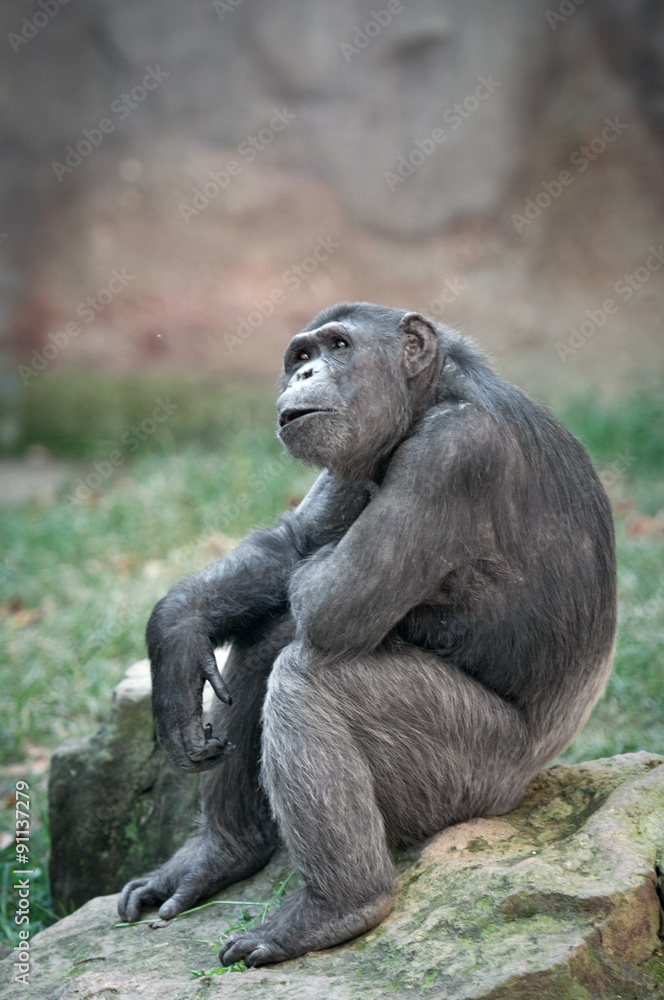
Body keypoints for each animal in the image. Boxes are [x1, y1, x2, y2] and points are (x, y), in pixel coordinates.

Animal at [115, 300, 616, 964]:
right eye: (301, 356)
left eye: (339, 347)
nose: (305, 376)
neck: (431, 398)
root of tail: (525, 784)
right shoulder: (353, 455)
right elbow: (295, 543)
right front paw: (176, 635)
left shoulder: (450, 456)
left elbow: (333, 606)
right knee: (269, 638)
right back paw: (219, 853)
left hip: (471, 777)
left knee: (309, 675)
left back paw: (335, 910)